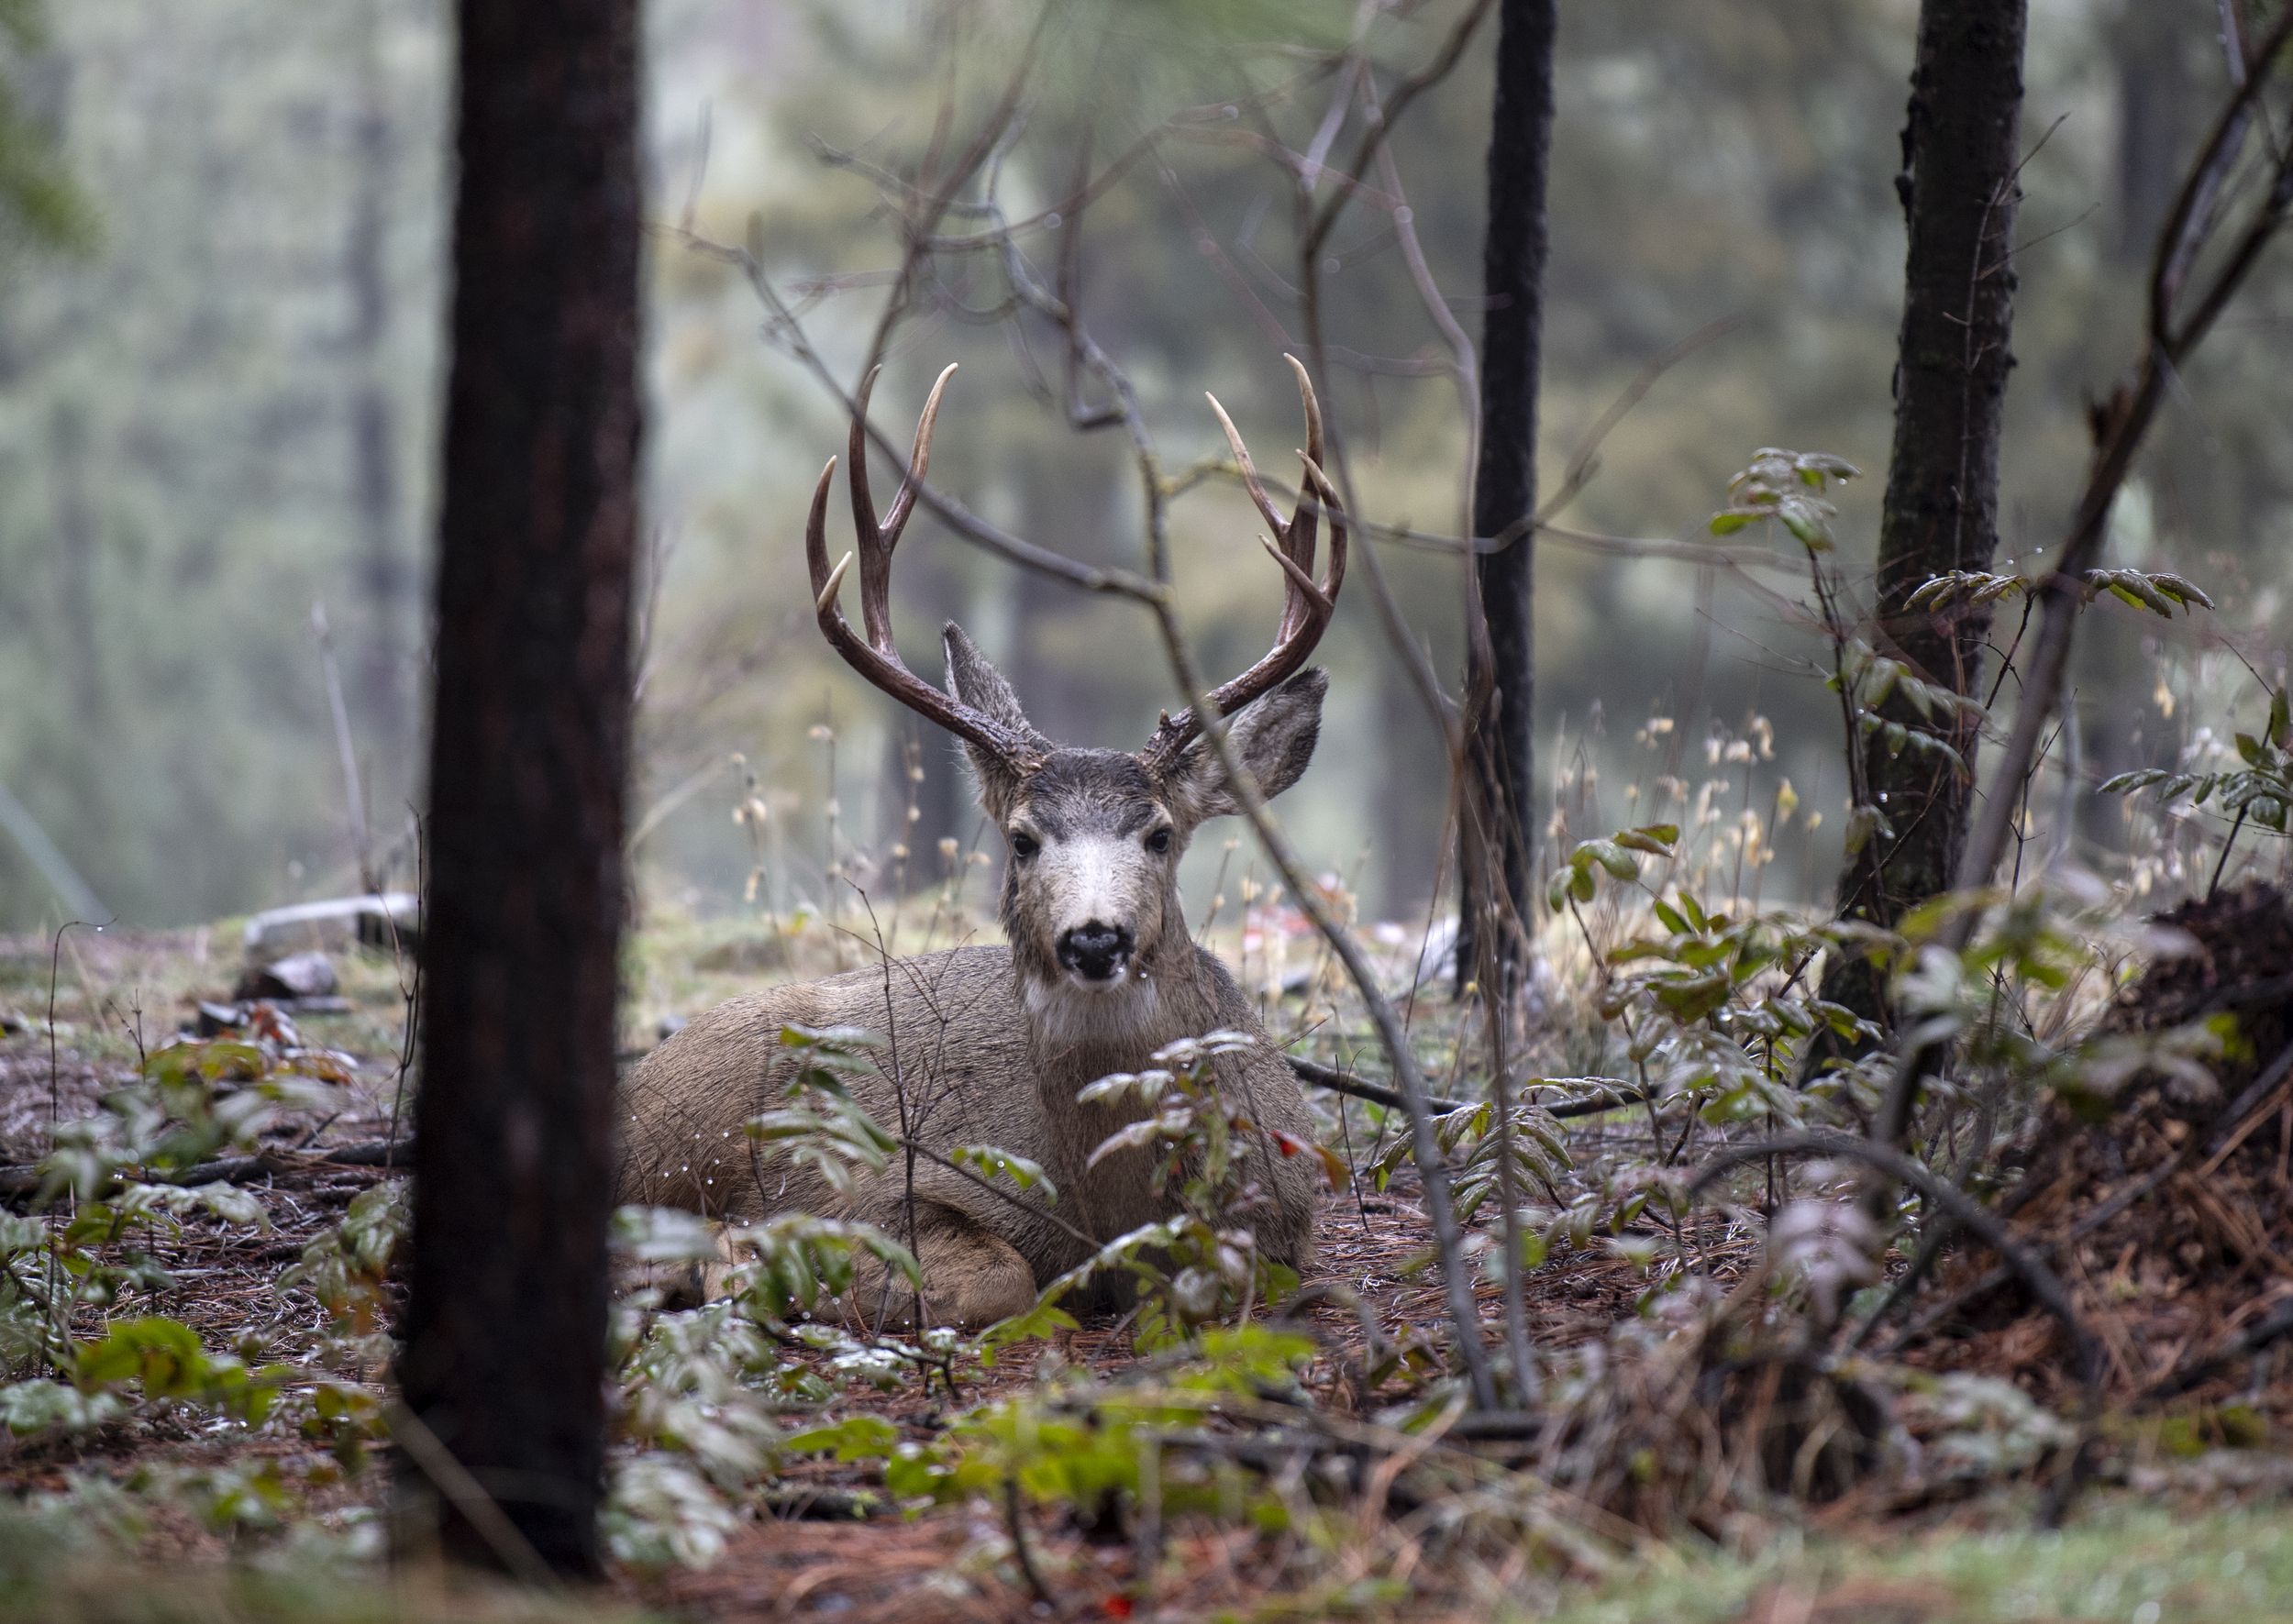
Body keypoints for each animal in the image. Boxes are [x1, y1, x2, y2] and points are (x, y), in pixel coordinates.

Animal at [619, 358, 1348, 1330]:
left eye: (1159, 833)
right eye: (1022, 839)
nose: (1094, 937)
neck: (1112, 1223)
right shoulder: (876, 1179)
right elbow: (999, 1276)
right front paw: (759, 1261)